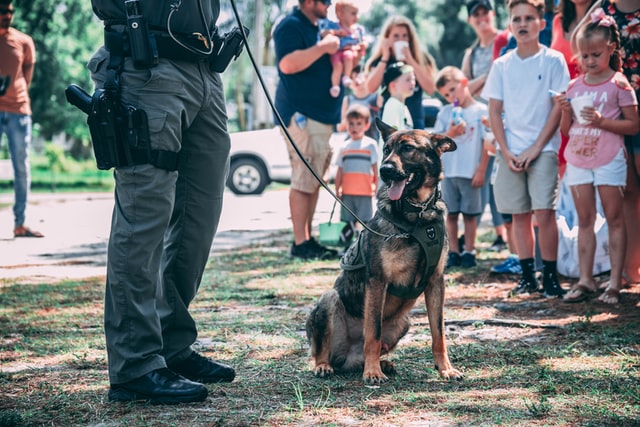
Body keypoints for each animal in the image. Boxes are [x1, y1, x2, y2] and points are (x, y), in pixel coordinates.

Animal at [304, 119, 460, 384]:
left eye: (408, 148)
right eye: (386, 149)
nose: (384, 170)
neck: (417, 214)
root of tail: (349, 355)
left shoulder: (436, 282)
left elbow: (438, 333)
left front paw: (445, 369)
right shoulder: (378, 281)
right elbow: (373, 332)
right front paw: (372, 372)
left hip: (404, 322)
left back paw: (382, 362)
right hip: (328, 299)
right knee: (324, 351)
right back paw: (328, 365)